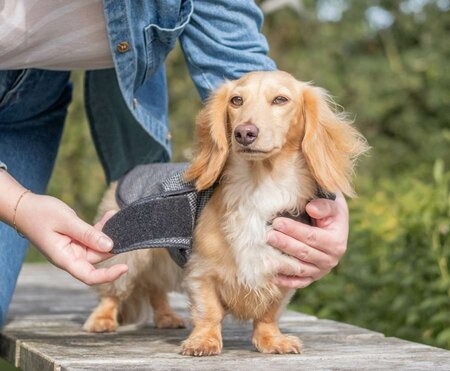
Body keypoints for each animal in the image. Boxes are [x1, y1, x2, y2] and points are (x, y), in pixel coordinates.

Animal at [82, 70, 368, 358]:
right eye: (236, 100)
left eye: (280, 99)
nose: (244, 133)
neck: (258, 185)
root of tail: (132, 171)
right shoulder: (202, 270)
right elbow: (208, 310)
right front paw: (203, 341)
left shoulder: (284, 272)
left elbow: (269, 313)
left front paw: (271, 340)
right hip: (129, 257)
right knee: (113, 291)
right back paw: (102, 320)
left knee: (155, 289)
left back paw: (166, 317)